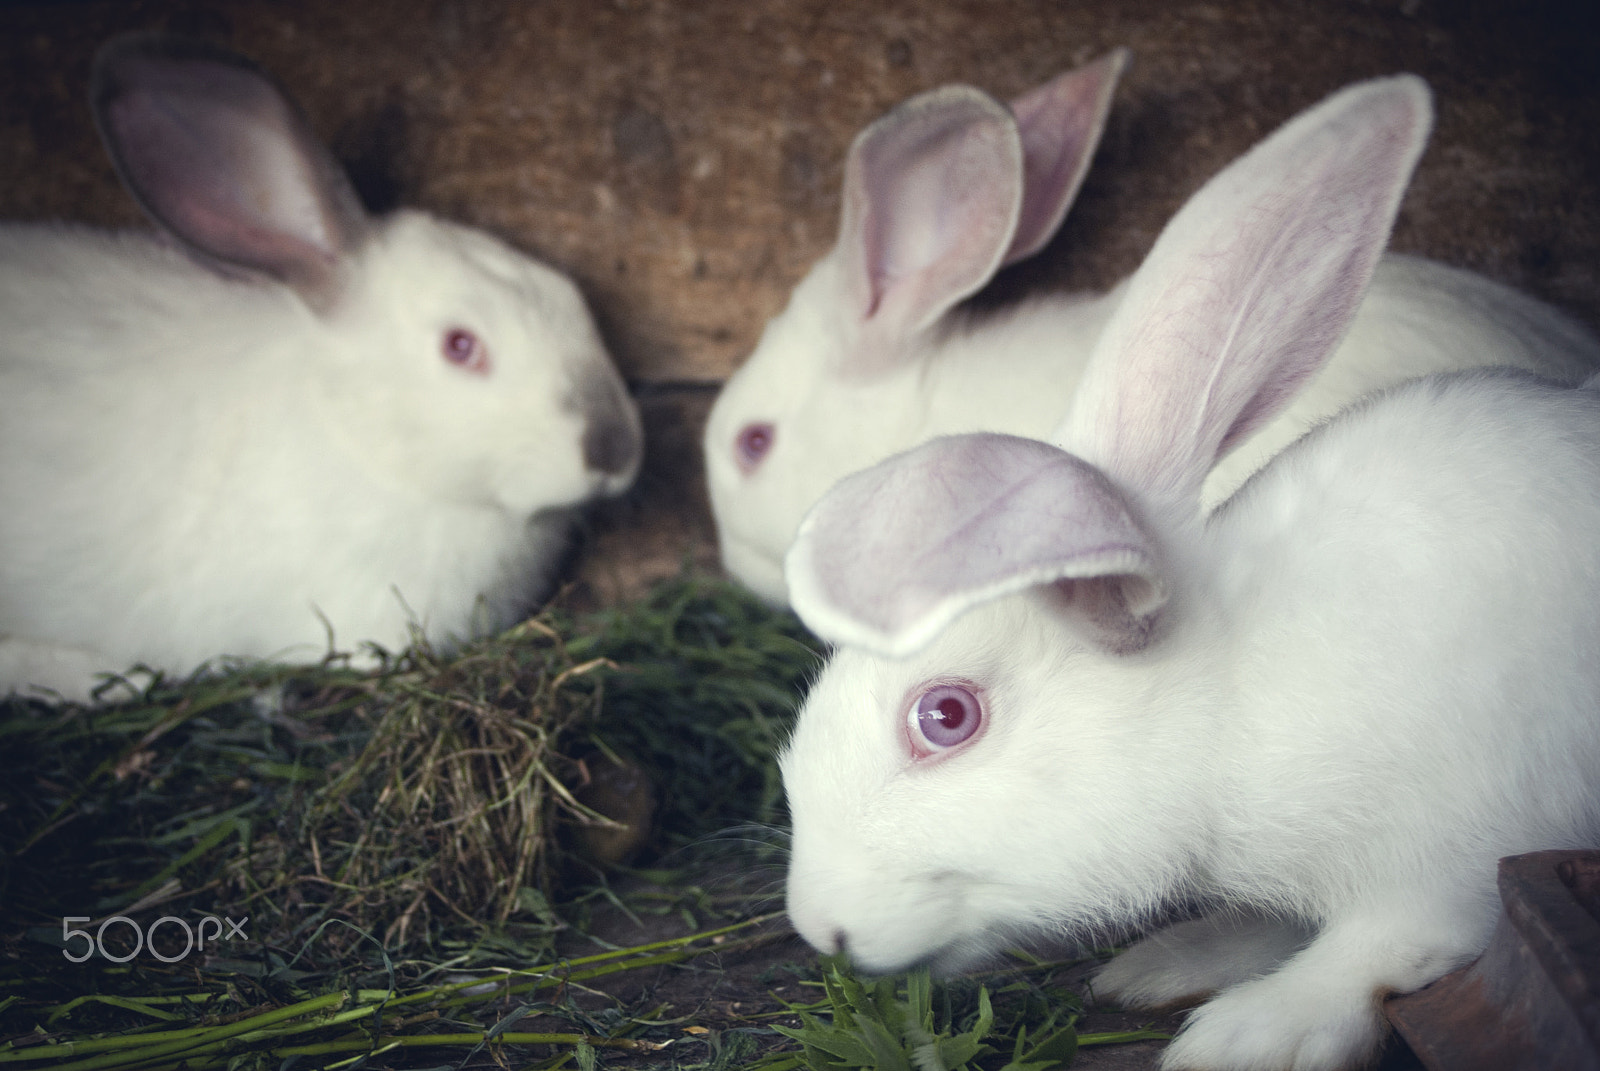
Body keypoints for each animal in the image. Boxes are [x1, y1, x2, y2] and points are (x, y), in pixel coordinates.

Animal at [777, 75, 1600, 1069]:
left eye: (945, 716)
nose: (818, 923)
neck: (1226, 696)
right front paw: (1170, 962)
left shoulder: (1451, 853)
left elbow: (1385, 949)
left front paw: (1251, 1031)